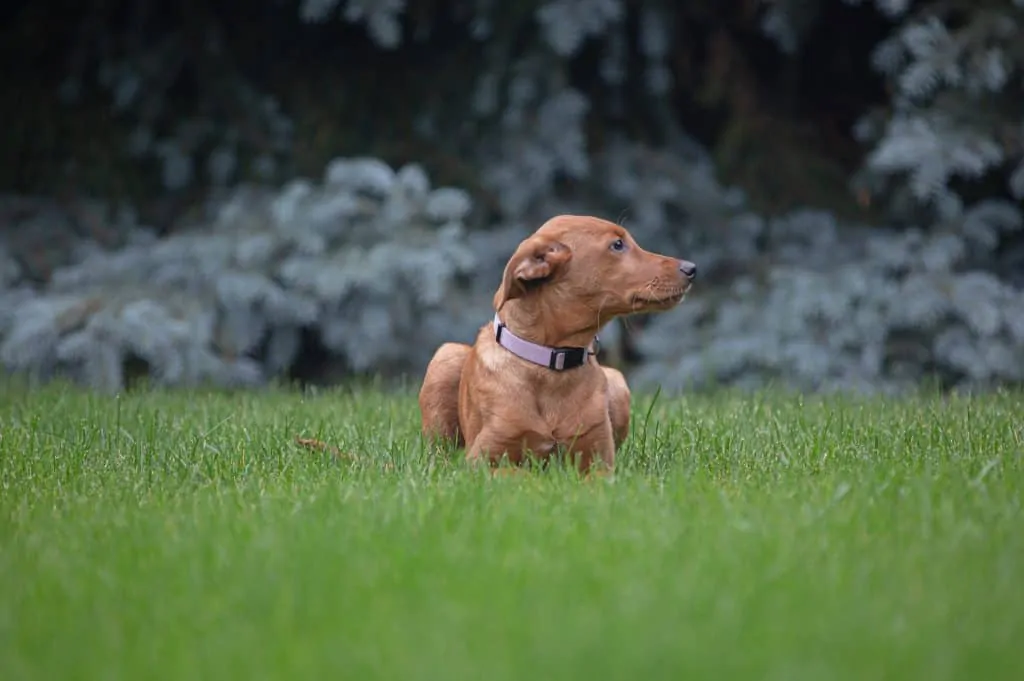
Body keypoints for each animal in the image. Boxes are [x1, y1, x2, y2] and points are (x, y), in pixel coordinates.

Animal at [415, 213, 696, 473]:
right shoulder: (482, 460)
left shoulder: (599, 462)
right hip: (446, 357)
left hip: (617, 381)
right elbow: (520, 475)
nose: (692, 268)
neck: (552, 363)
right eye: (617, 244)